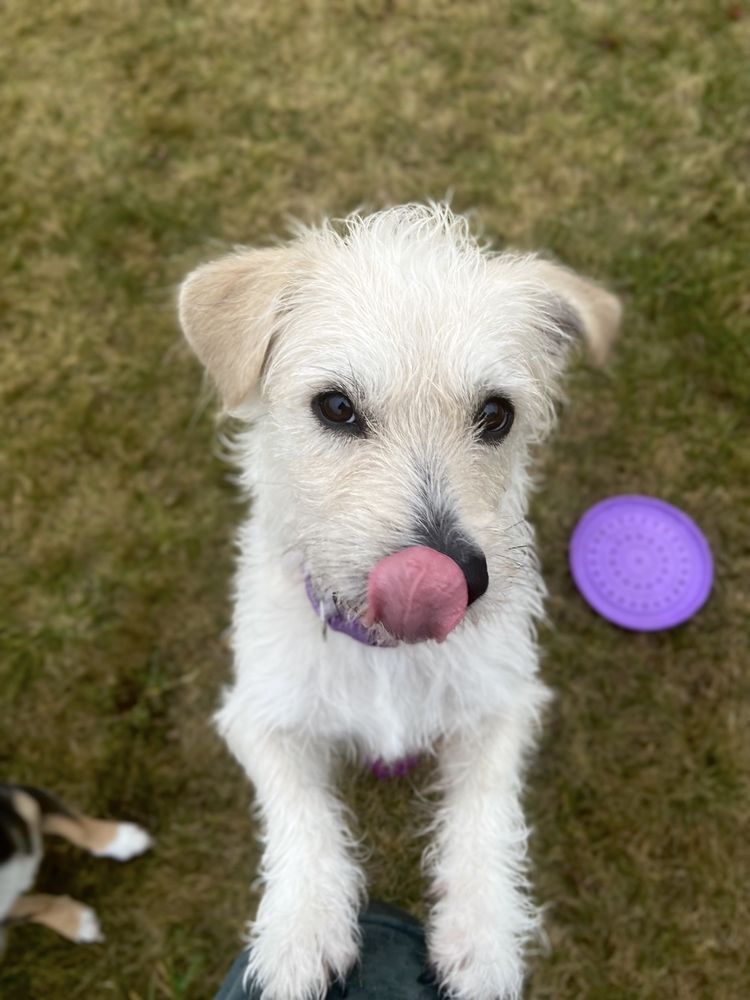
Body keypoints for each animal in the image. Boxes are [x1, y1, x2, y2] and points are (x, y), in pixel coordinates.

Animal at [178, 205, 624, 1000]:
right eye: (336, 406)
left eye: (496, 414)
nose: (454, 576)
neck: (385, 654)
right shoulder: (259, 715)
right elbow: (301, 811)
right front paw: (301, 931)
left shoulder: (504, 703)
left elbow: (486, 810)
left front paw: (481, 940)